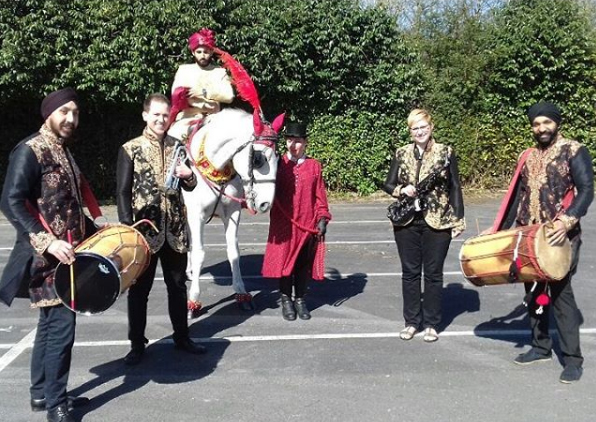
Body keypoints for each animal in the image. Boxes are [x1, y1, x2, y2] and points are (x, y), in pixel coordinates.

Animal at [182, 109, 284, 316]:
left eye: (278, 158)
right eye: (258, 159)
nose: (265, 204)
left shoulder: (232, 214)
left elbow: (233, 252)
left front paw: (241, 293)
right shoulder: (197, 215)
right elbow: (199, 253)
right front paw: (193, 301)